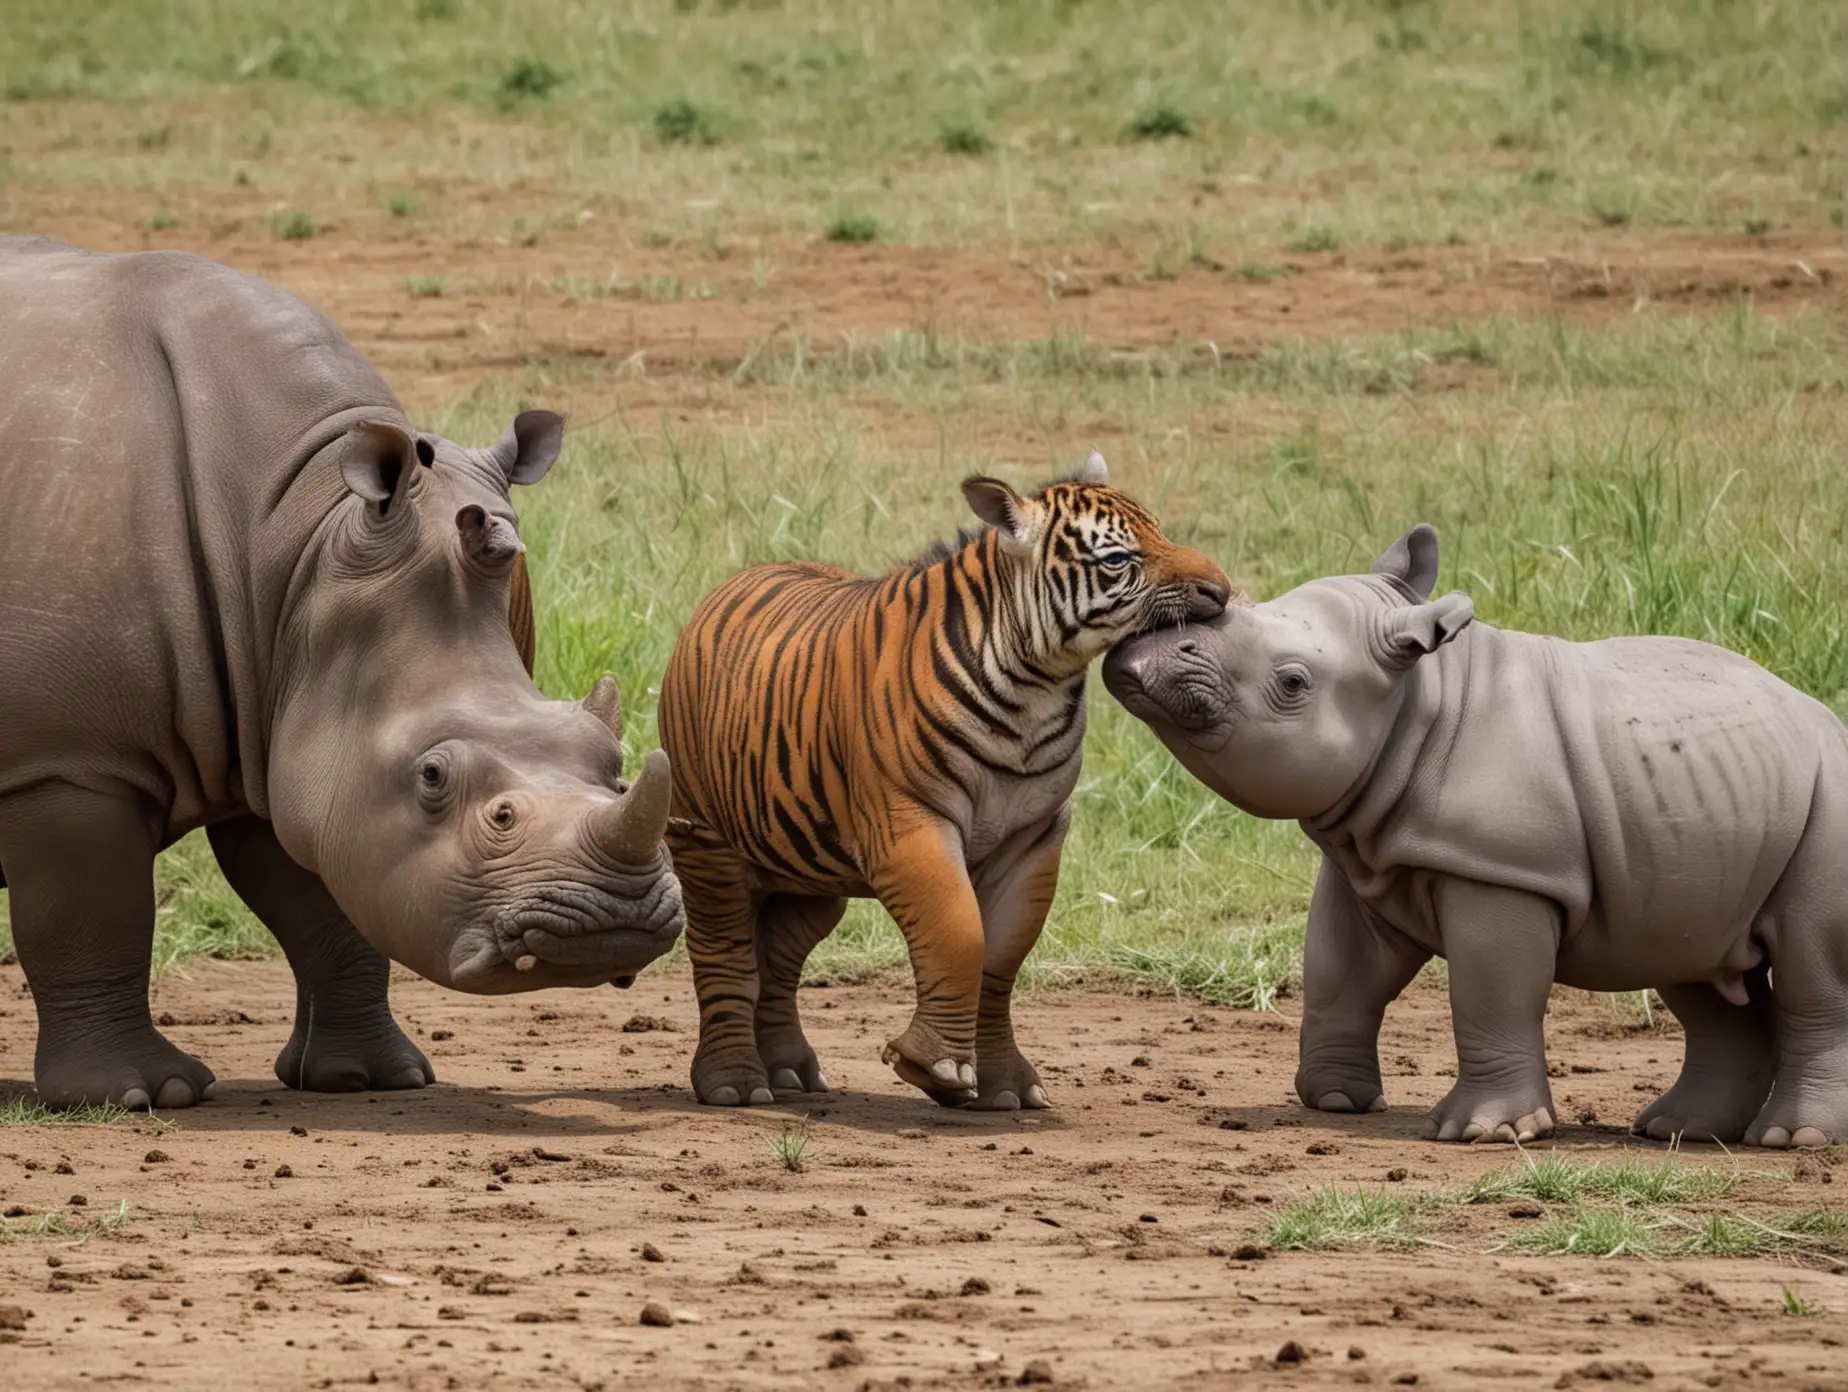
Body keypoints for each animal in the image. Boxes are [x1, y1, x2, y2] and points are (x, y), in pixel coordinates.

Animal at [0, 236, 687, 1109]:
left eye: (613, 763)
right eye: (433, 776)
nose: (609, 924)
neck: (301, 546)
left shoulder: (275, 718)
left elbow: (325, 903)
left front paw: (367, 1079)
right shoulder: (70, 761)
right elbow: (91, 915)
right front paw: (139, 1095)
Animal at [1101, 525, 1848, 1146]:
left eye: (1292, 682)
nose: (1133, 657)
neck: (1419, 703)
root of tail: (1828, 722)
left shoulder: (1501, 870)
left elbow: (1490, 990)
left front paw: (1484, 1133)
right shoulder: (1369, 856)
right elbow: (1340, 971)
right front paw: (1336, 1102)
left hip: (1829, 803)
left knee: (1808, 968)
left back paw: (1793, 1140)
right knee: (1693, 958)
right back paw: (1678, 1131)